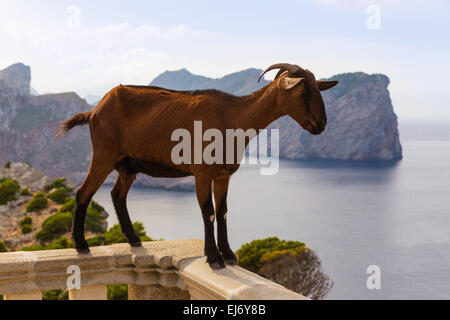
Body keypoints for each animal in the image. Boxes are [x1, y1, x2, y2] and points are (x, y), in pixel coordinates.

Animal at [57, 63, 338, 270]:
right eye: (301, 91)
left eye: (318, 89)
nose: (321, 124)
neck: (233, 117)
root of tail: (94, 111)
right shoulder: (202, 171)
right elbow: (208, 212)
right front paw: (213, 258)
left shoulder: (224, 174)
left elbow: (222, 211)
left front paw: (229, 255)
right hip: (103, 154)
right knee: (83, 192)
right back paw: (81, 245)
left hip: (128, 165)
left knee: (117, 195)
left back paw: (134, 239)